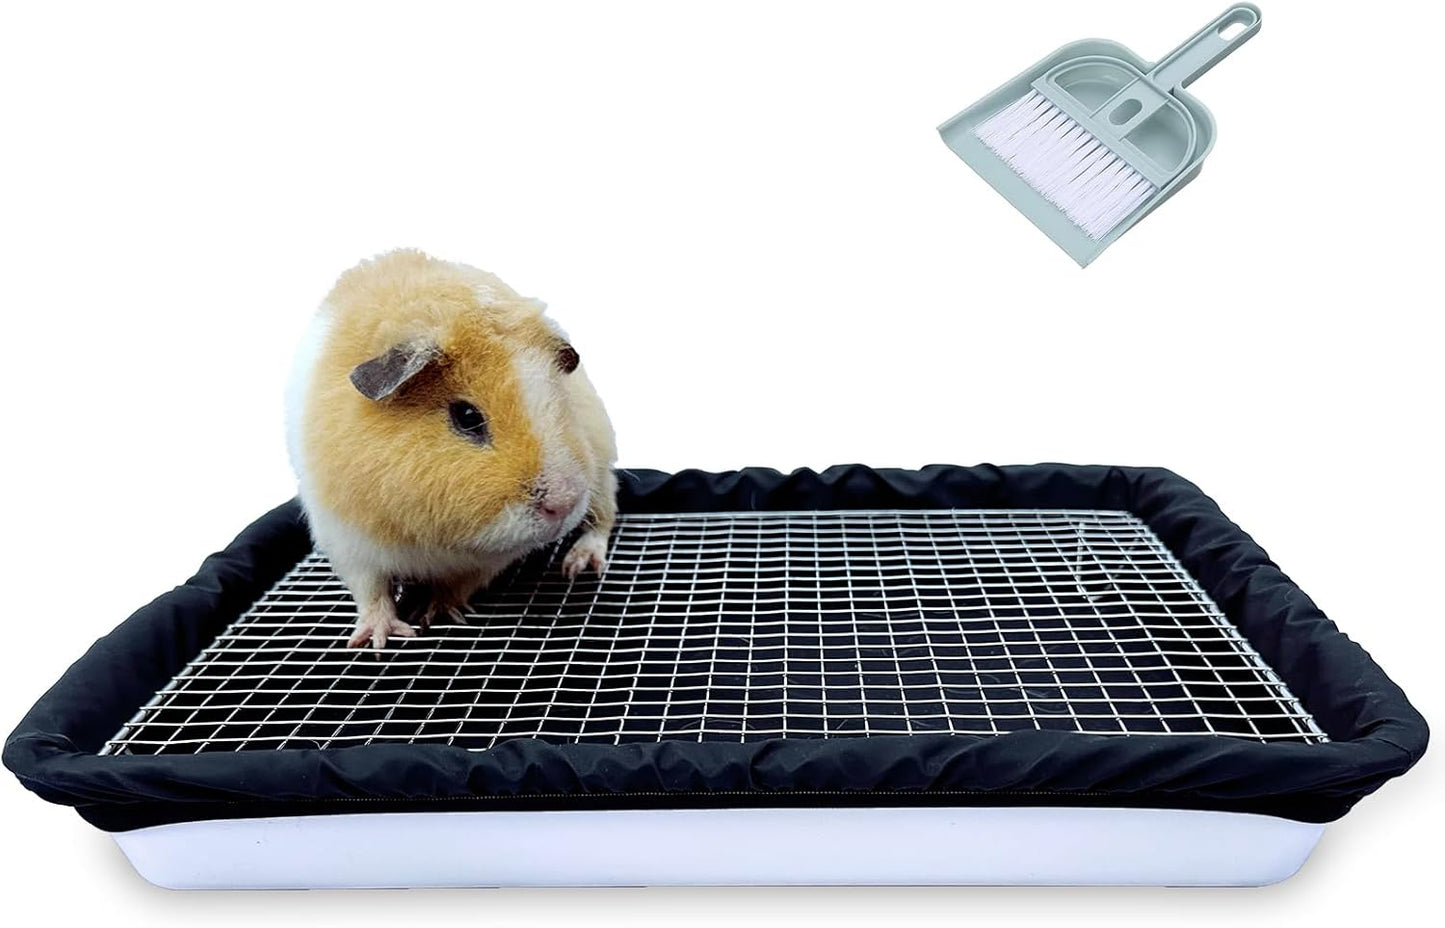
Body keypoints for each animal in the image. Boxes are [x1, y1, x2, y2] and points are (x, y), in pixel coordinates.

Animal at [285, 249, 617, 649]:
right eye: (467, 417)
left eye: (559, 398)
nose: (563, 503)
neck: (432, 536)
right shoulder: (348, 543)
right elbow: (373, 591)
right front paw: (379, 641)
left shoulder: (488, 560)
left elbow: (457, 585)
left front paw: (432, 614)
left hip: (601, 472)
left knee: (604, 518)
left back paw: (578, 565)